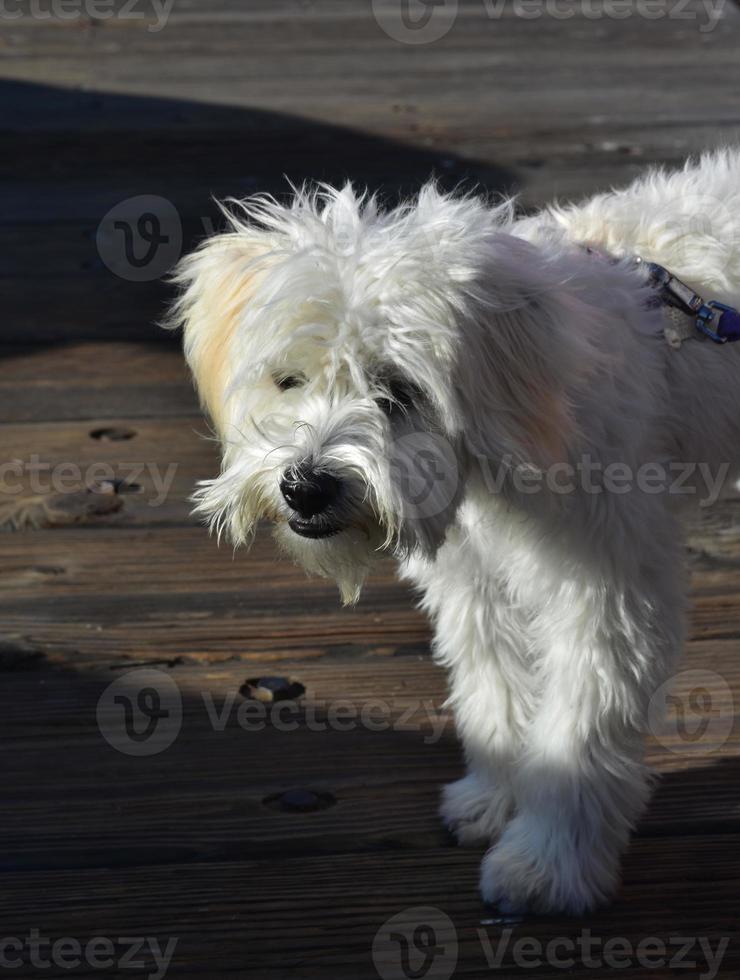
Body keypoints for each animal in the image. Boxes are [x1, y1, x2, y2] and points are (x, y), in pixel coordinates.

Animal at [168, 151, 740, 912]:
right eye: (288, 380)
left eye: (398, 391)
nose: (306, 487)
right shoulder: (475, 580)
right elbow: (493, 685)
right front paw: (494, 798)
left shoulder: (607, 585)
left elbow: (582, 719)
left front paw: (547, 865)